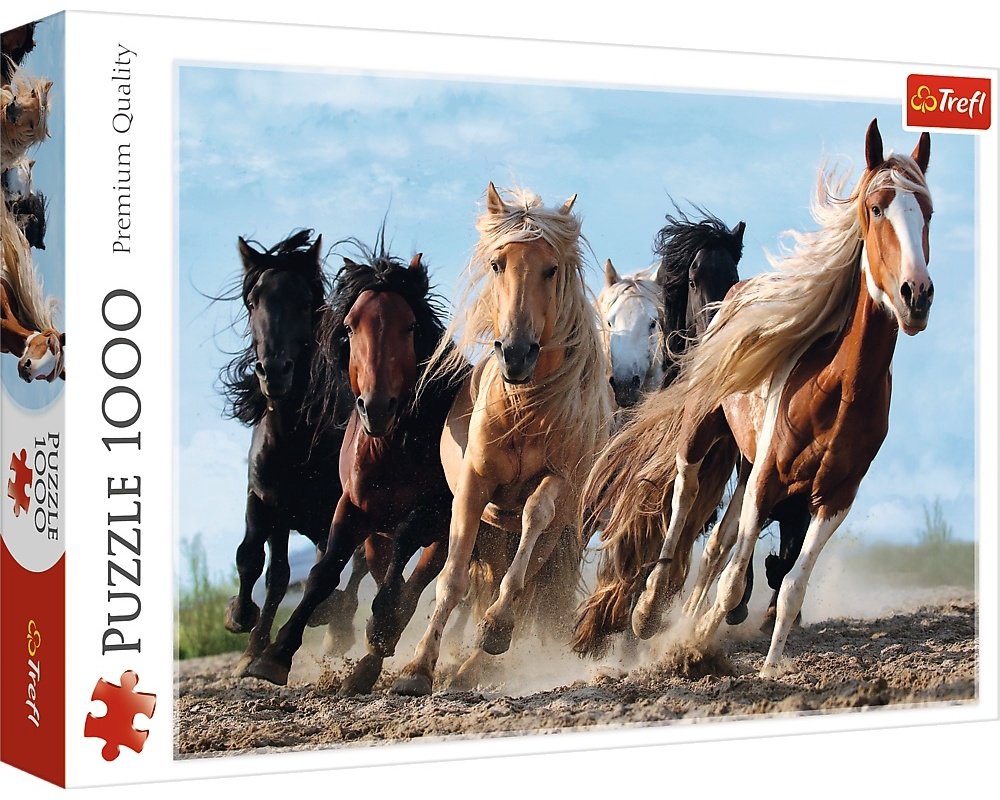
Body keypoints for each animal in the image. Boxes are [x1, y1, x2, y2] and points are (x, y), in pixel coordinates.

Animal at [219, 230, 352, 676]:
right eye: (252, 301)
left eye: (305, 302)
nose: (274, 372)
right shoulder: (266, 501)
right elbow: (257, 563)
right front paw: (243, 626)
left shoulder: (336, 510)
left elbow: (324, 571)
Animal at [246, 244, 467, 695]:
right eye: (350, 327)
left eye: (410, 326)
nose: (375, 407)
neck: (393, 447)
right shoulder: (351, 507)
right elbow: (324, 572)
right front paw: (275, 655)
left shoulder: (436, 512)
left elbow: (404, 554)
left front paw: (380, 627)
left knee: (416, 583)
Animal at [390, 183, 612, 696]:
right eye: (497, 264)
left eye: (551, 268)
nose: (516, 353)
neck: (525, 408)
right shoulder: (474, 486)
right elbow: (451, 579)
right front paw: (417, 667)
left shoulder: (559, 482)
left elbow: (534, 516)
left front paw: (494, 628)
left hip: (553, 538)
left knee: (527, 584)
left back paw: (476, 663)